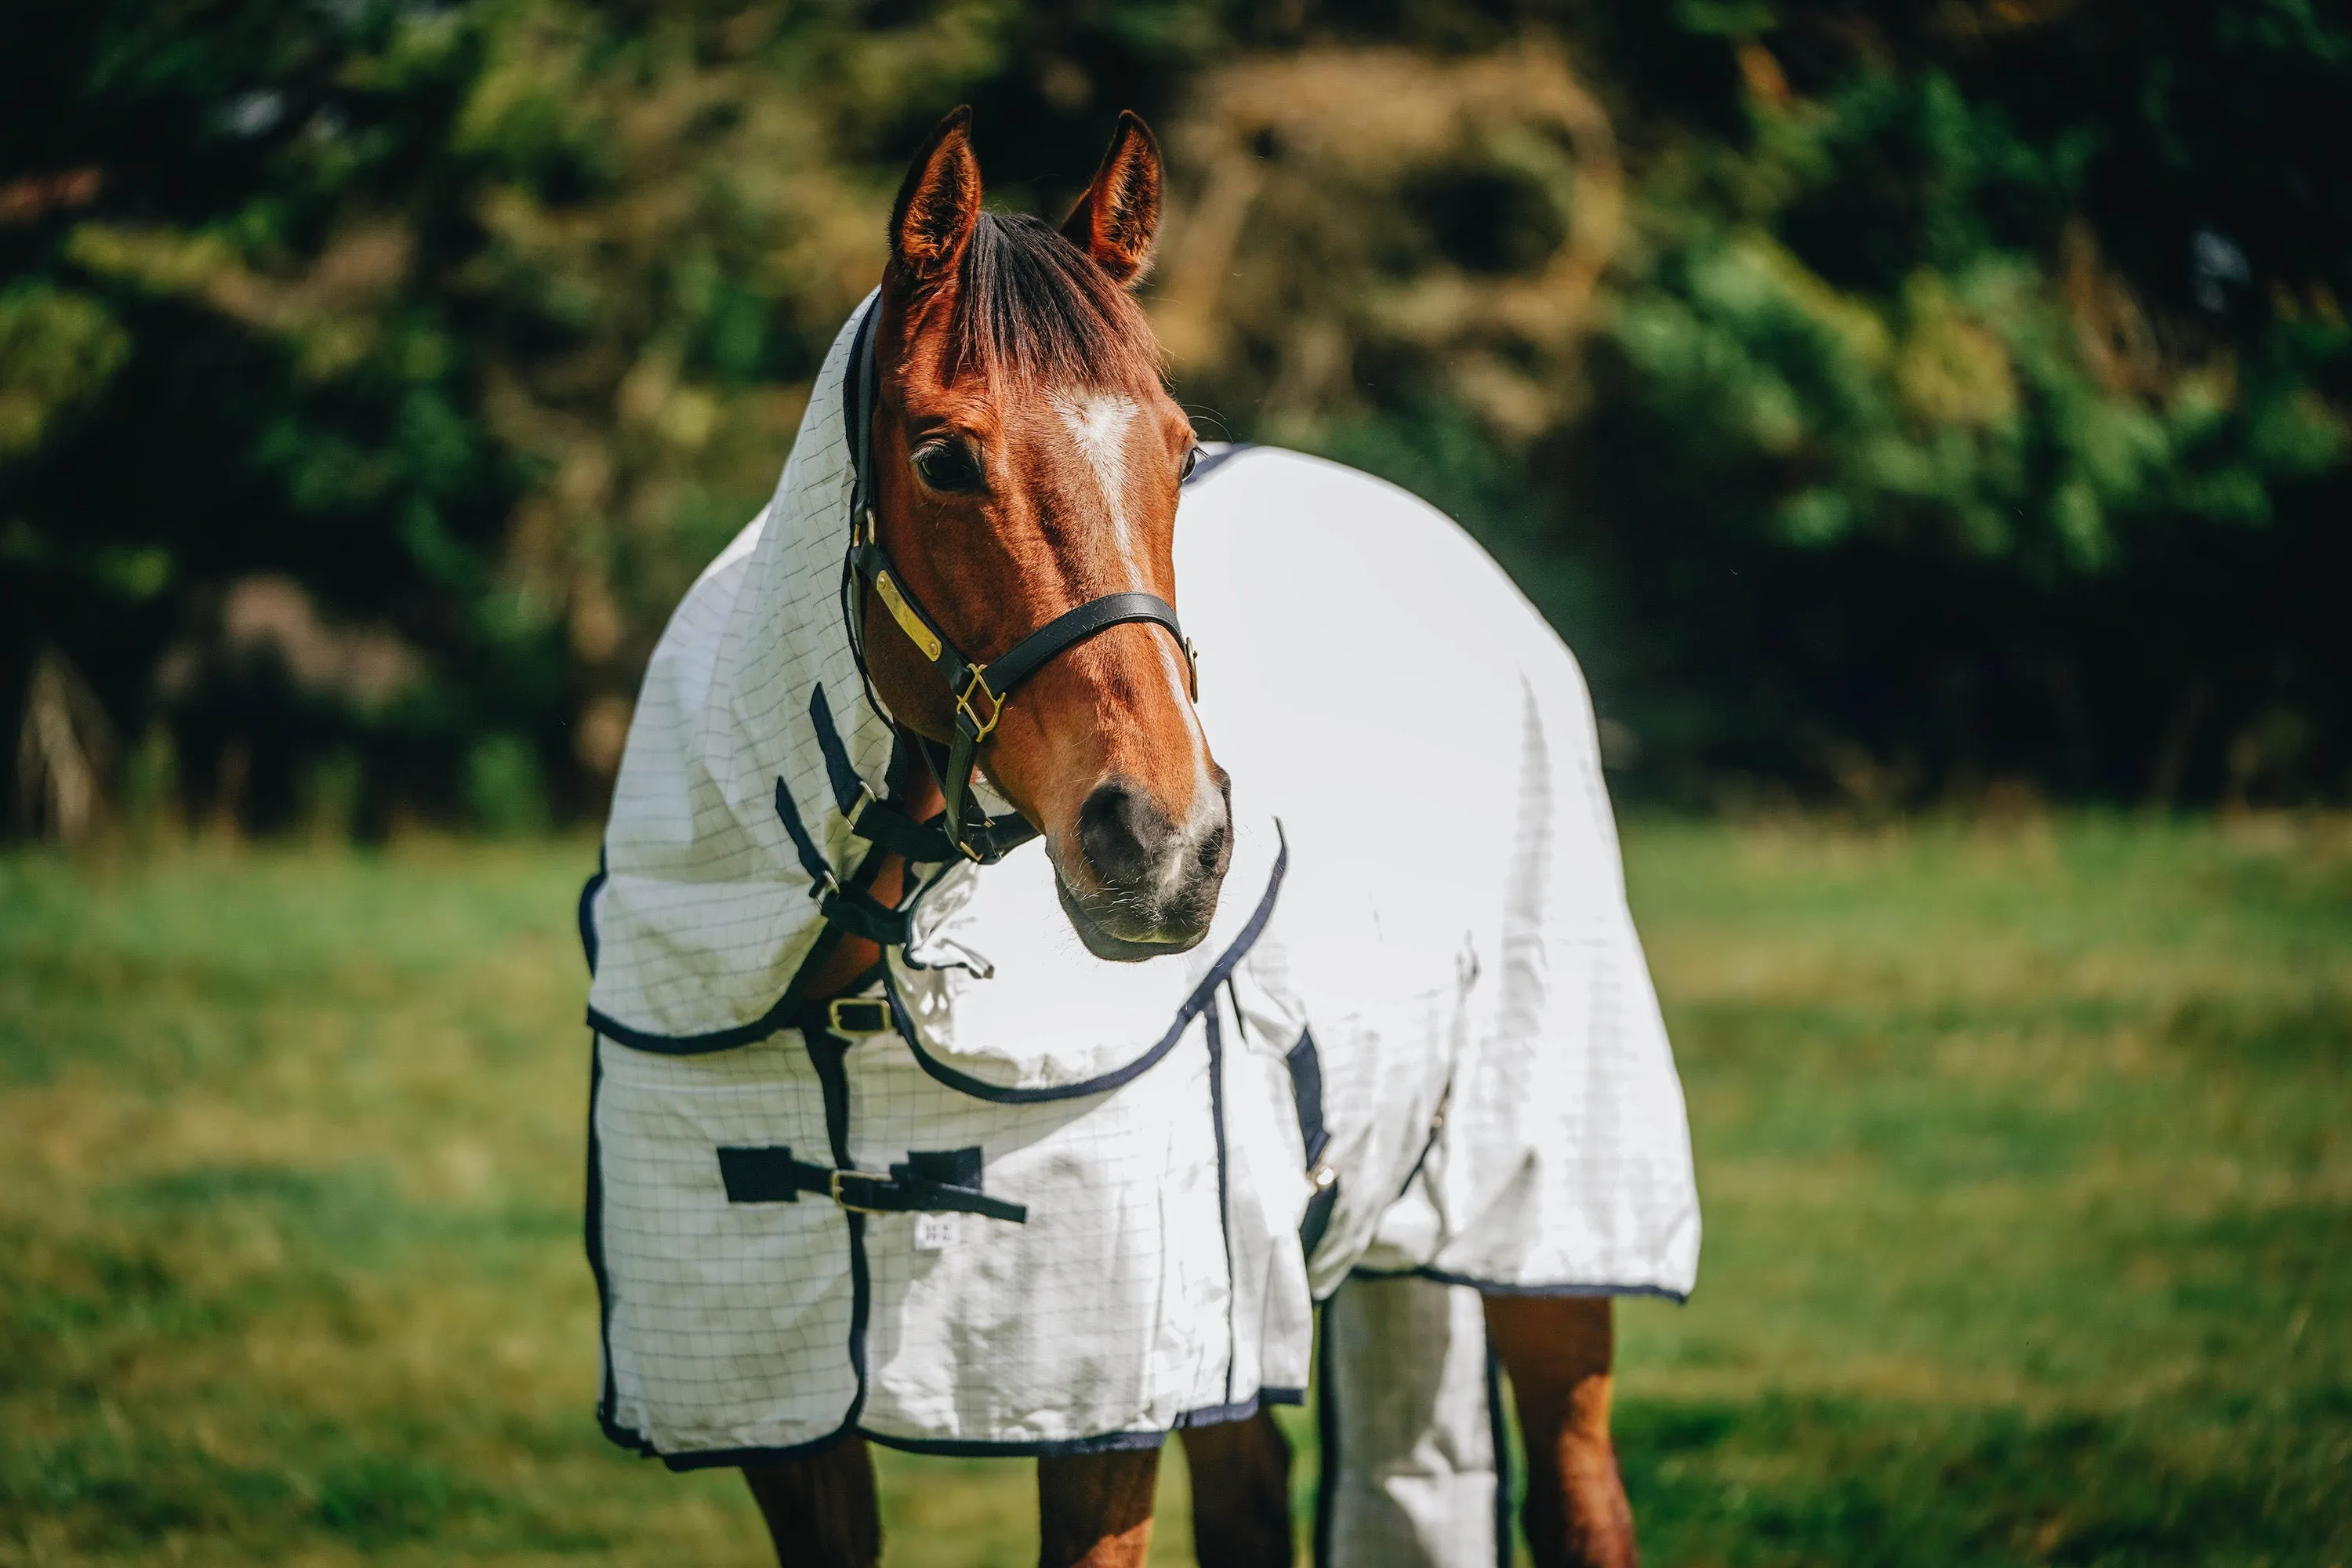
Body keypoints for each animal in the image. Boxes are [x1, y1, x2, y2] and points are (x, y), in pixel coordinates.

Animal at [581, 110, 1703, 1568]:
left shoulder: (1103, 1403)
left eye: (1177, 451)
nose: (1168, 844)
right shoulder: (781, 1421)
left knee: (1580, 1488)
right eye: (943, 457)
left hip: (1543, 1206)